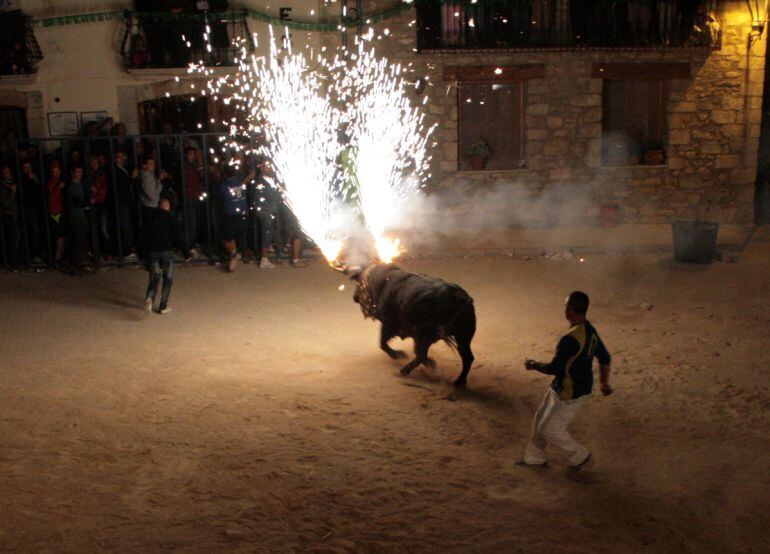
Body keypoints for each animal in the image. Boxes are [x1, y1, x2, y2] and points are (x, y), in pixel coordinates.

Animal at [346, 262, 474, 384]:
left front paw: (398, 355)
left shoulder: (389, 325)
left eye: (358, 283)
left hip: (426, 334)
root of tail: (456, 297)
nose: (354, 297)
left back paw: (405, 370)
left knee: (420, 354)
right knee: (467, 357)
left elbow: (382, 343)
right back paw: (459, 381)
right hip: (463, 336)